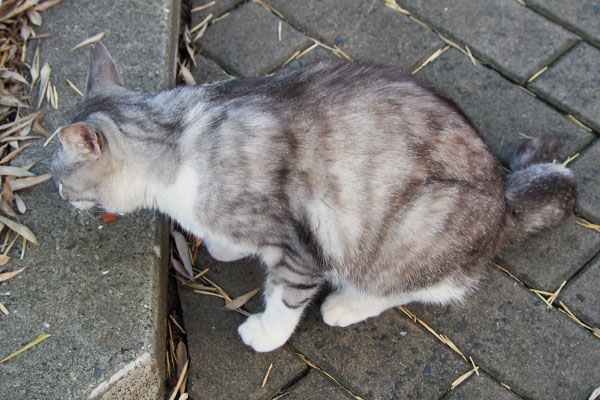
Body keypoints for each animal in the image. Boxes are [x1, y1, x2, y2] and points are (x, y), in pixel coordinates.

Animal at [51, 42, 576, 352]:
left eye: (58, 177)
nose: (56, 194)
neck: (177, 135)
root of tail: (503, 200)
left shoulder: (303, 247)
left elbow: (285, 298)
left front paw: (265, 333)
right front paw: (225, 244)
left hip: (412, 231)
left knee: (422, 286)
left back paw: (346, 304)